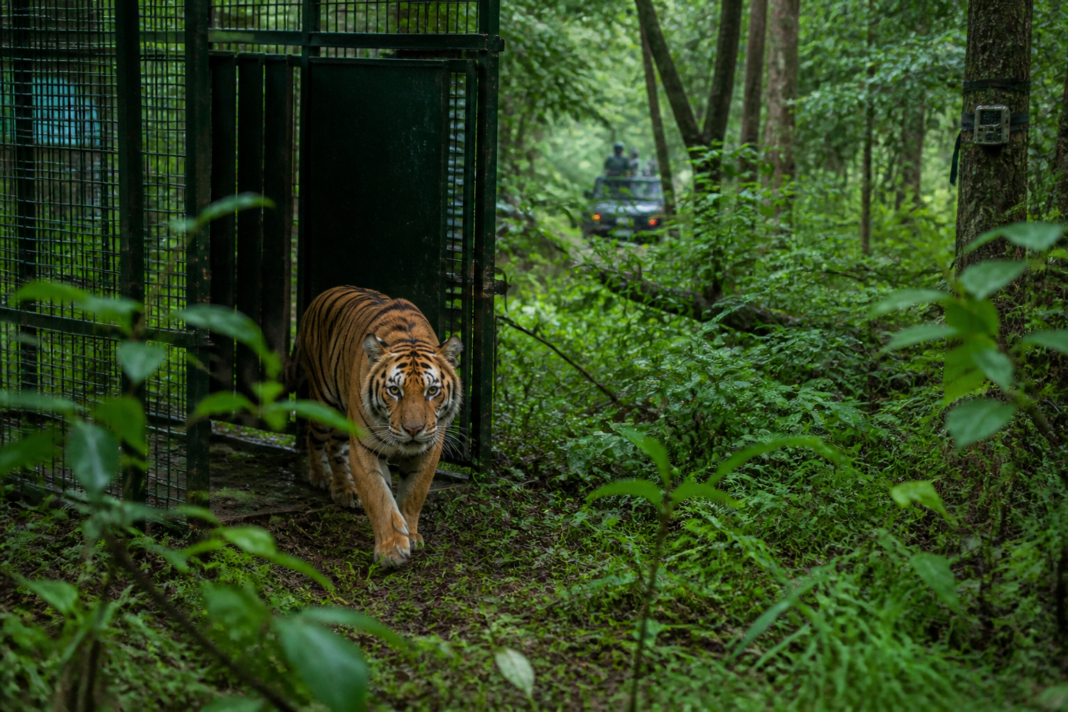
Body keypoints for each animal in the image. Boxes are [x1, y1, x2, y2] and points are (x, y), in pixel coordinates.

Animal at [295, 286, 462, 566]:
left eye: (432, 391)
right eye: (394, 390)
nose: (413, 430)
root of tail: (325, 292)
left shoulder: (429, 449)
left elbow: (413, 494)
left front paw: (411, 535)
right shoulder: (365, 448)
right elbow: (380, 498)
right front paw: (392, 550)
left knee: (335, 446)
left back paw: (345, 490)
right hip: (325, 403)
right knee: (314, 437)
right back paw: (321, 478)